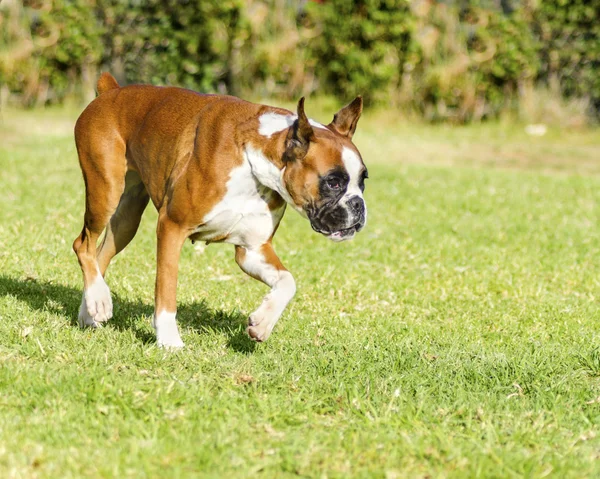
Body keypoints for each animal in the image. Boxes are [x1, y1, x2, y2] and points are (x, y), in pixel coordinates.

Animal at [72, 72, 368, 348]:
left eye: (363, 180)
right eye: (333, 182)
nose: (359, 205)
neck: (252, 157)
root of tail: (111, 91)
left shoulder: (253, 250)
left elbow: (287, 281)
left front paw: (263, 323)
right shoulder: (171, 227)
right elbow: (166, 289)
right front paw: (169, 341)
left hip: (126, 218)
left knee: (100, 255)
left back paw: (93, 309)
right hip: (105, 192)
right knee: (83, 245)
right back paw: (98, 300)